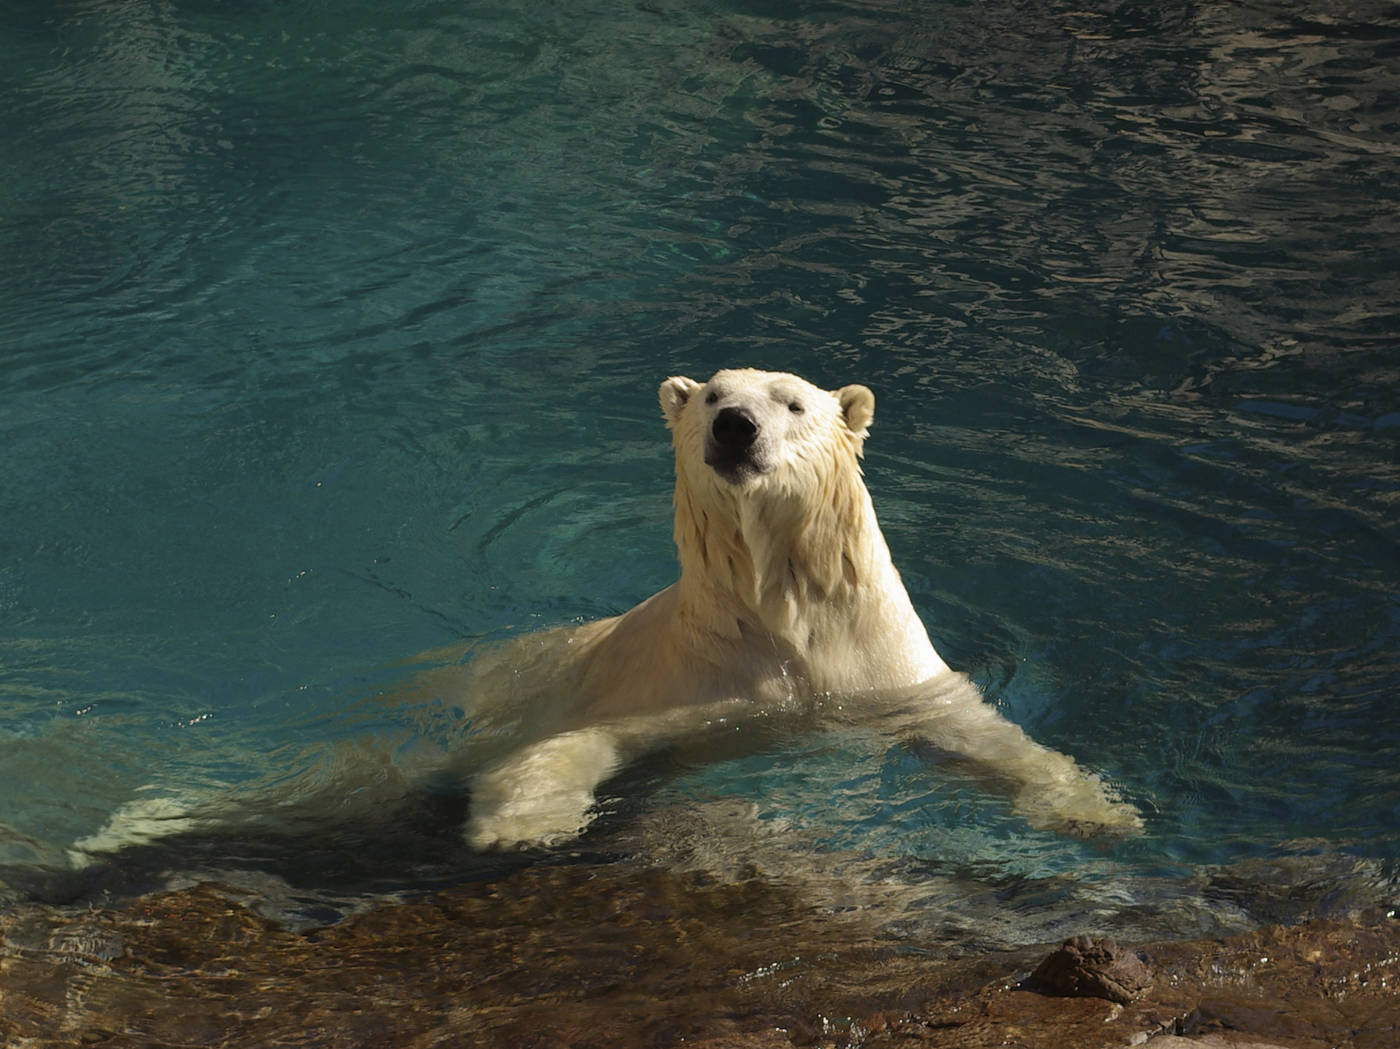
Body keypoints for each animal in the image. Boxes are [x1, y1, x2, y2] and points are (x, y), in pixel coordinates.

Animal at [453, 366, 1142, 851]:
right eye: (712, 396)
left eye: (794, 404)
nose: (735, 424)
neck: (782, 618)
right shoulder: (681, 685)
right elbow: (573, 741)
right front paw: (524, 825)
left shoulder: (881, 664)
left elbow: (974, 726)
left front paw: (1095, 812)